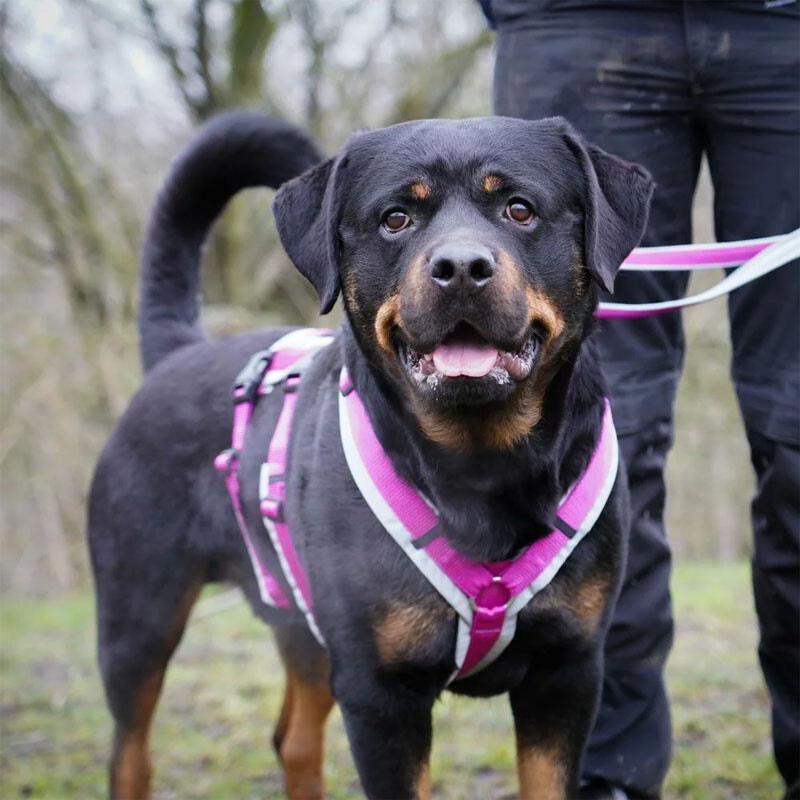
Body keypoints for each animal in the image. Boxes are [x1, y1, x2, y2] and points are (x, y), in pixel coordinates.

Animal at [87, 109, 652, 796]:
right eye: (395, 218)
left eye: (519, 209)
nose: (461, 265)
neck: (481, 466)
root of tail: (179, 350)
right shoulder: (379, 691)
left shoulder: (567, 671)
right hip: (140, 617)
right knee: (131, 750)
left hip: (302, 624)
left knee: (294, 740)